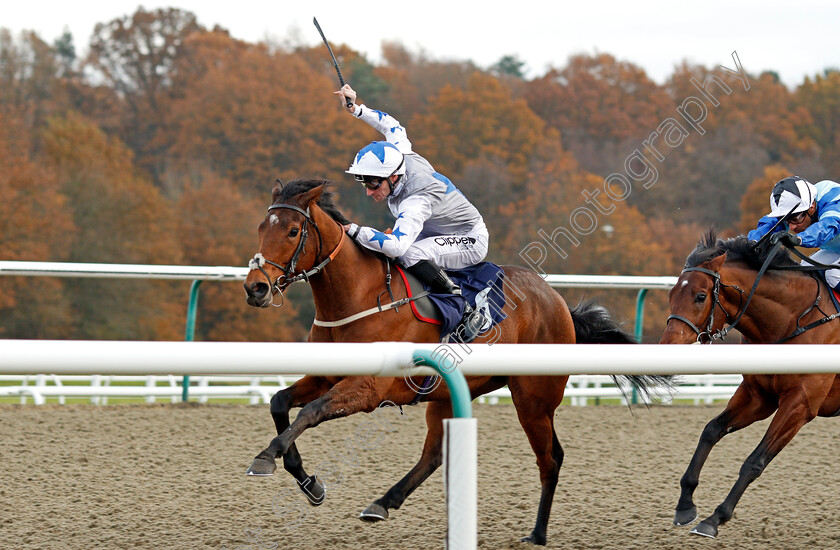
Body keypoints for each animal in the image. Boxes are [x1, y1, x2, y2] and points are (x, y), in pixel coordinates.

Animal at [240, 181, 668, 548]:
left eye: (293, 230)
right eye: (261, 226)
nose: (256, 287)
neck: (360, 295)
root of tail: (557, 300)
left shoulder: (367, 387)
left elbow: (309, 412)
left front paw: (266, 457)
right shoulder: (325, 374)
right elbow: (280, 403)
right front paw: (307, 481)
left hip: (533, 399)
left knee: (550, 458)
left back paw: (537, 534)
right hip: (448, 393)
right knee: (434, 454)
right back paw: (382, 503)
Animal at [660, 230, 840, 540]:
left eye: (700, 296)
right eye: (671, 294)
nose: (667, 346)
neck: (794, 320)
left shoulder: (800, 404)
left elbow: (755, 461)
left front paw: (715, 518)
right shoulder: (758, 396)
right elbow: (711, 430)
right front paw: (685, 504)